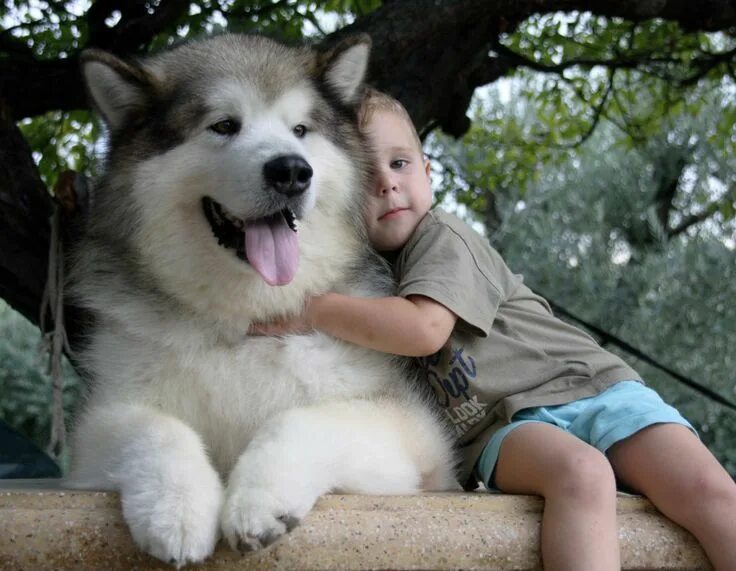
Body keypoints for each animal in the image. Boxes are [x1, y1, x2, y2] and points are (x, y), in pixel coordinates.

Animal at [70, 33, 460, 564]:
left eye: (300, 130)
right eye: (224, 125)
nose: (292, 171)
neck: (246, 321)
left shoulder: (414, 436)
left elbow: (306, 418)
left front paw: (259, 499)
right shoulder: (98, 427)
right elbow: (156, 429)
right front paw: (177, 509)